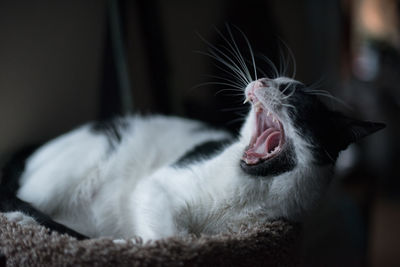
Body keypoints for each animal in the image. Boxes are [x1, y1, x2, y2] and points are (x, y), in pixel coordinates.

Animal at [0, 31, 384, 243]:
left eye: (289, 91)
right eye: (271, 78)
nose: (260, 81)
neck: (251, 187)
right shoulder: (158, 185)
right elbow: (173, 235)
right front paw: (137, 247)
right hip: (74, 166)